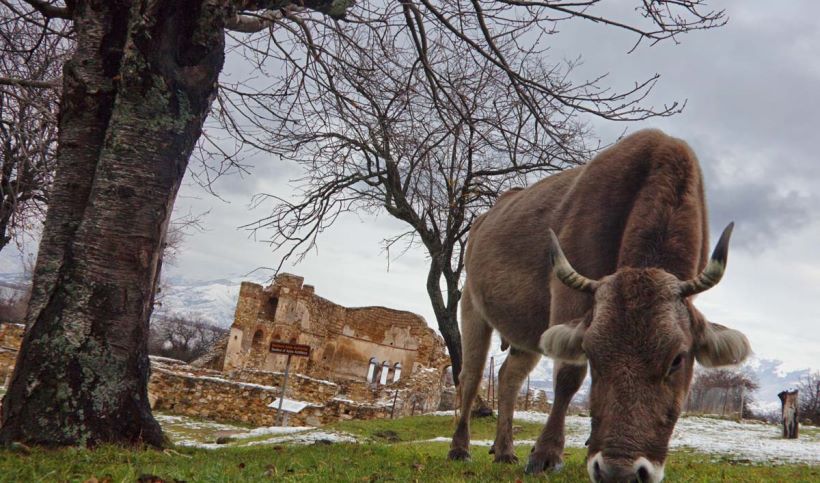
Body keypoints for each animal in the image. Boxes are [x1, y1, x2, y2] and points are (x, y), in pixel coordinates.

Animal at [452, 130, 752, 482]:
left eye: (677, 359)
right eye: (592, 353)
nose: (618, 473)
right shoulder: (569, 298)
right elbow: (569, 376)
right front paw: (545, 454)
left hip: (525, 331)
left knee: (508, 377)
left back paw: (504, 451)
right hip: (471, 306)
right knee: (470, 376)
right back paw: (459, 448)